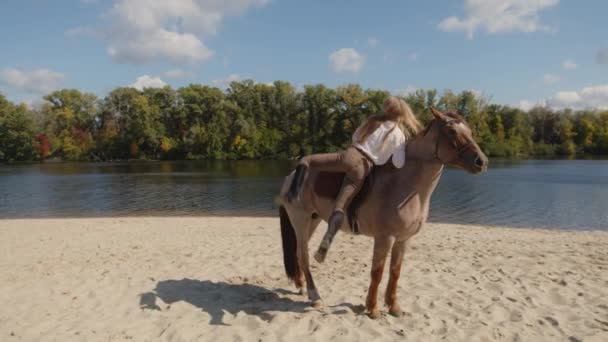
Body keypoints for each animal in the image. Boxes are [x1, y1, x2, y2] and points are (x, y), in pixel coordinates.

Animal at [278, 107, 486, 318]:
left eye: (469, 131)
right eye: (451, 131)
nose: (481, 161)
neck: (407, 186)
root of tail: (291, 176)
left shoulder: (403, 239)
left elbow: (395, 272)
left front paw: (394, 307)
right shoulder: (385, 238)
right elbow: (377, 272)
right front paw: (372, 308)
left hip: (313, 220)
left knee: (298, 254)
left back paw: (302, 286)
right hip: (300, 219)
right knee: (303, 255)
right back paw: (315, 296)